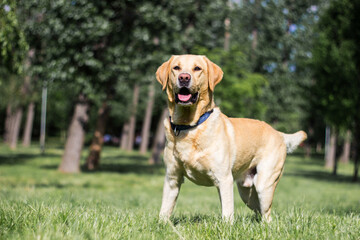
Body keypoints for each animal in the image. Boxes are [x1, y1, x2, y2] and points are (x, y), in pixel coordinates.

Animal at [155, 54, 306, 223]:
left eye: (197, 68)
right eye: (176, 68)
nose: (184, 77)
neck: (190, 126)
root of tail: (279, 133)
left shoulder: (224, 179)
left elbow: (227, 212)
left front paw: (227, 226)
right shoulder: (172, 179)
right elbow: (165, 209)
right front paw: (162, 225)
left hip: (264, 184)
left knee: (267, 215)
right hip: (246, 192)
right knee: (259, 211)